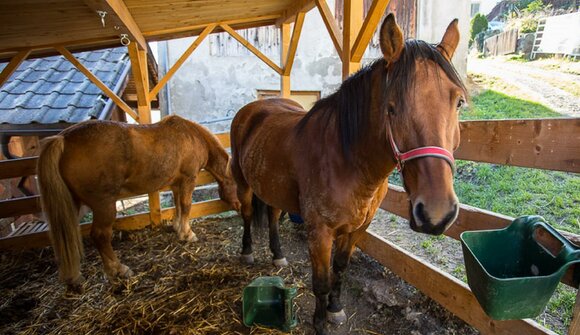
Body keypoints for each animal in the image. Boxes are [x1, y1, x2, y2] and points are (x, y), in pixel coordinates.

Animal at [37, 116, 240, 294]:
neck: (192, 135)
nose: (241, 208)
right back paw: (118, 270)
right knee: (100, 235)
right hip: (105, 205)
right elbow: (186, 205)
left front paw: (177, 227)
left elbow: (177, 205)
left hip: (73, 205)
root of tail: (63, 139)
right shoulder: (188, 180)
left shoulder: (176, 183)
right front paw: (188, 234)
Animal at [231, 14, 466, 334]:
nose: (436, 213)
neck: (348, 163)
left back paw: (278, 255)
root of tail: (253, 109)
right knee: (245, 214)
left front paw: (335, 309)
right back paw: (247, 252)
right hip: (242, 183)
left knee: (272, 216)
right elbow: (320, 281)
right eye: (391, 107)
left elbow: (340, 268)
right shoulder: (319, 232)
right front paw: (319, 323)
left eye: (458, 102)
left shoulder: (357, 229)